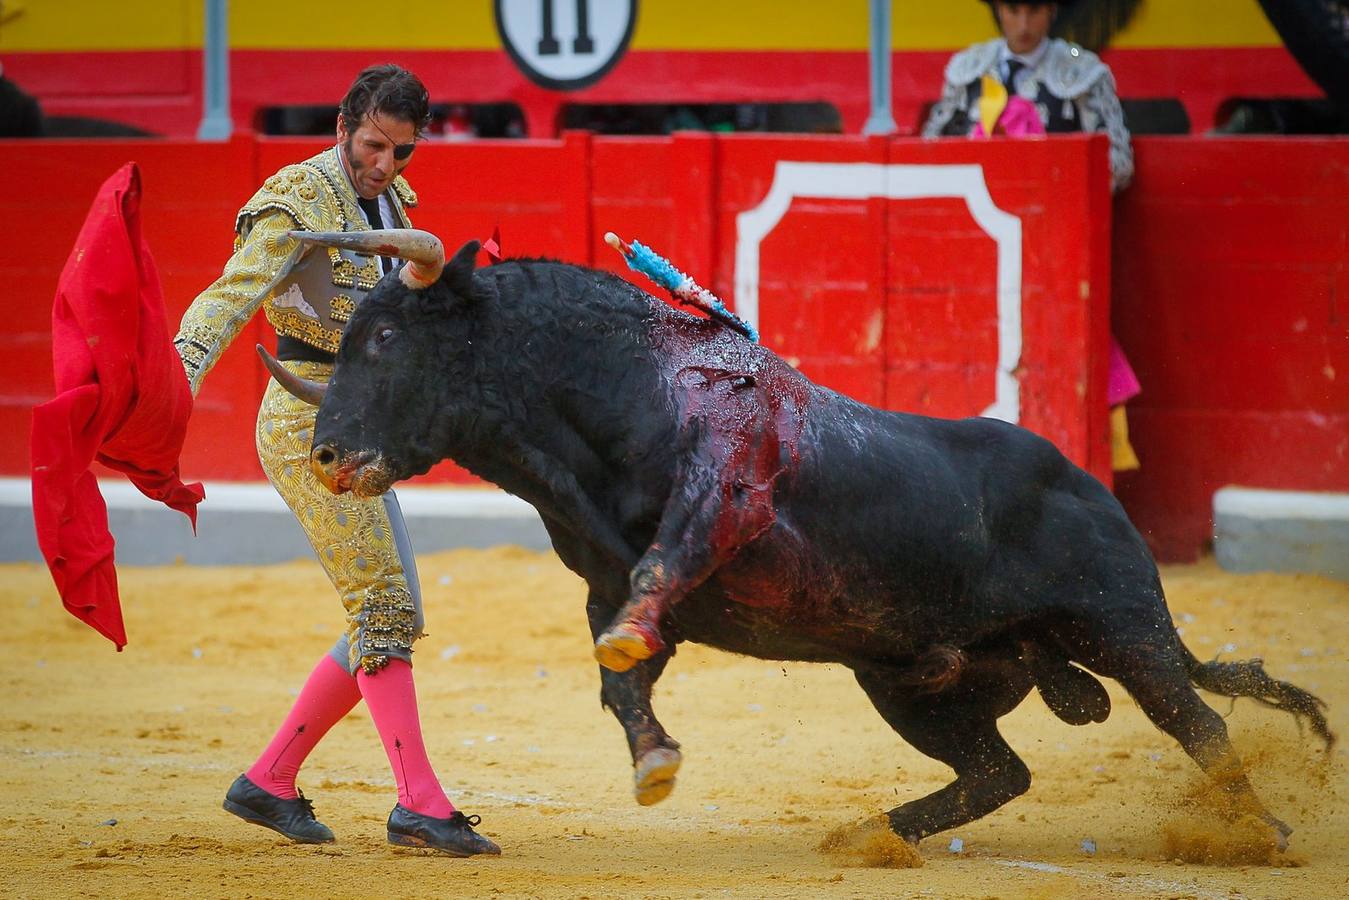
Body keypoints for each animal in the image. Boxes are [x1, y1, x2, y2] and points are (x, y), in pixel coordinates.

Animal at [260, 237, 1327, 847]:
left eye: (387, 338)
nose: (326, 455)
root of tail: (1089, 489)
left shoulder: (725, 493)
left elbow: (664, 569)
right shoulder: (610, 582)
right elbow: (619, 674)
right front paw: (654, 764)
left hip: (1121, 627)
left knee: (1200, 724)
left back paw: (1262, 833)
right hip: (906, 678)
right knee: (998, 771)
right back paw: (865, 837)